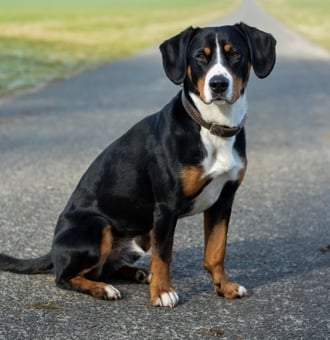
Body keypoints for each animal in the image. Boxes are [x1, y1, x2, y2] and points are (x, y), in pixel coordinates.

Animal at [0, 22, 276, 306]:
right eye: (200, 56)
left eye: (236, 54)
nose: (218, 84)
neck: (210, 127)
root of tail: (53, 248)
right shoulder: (165, 207)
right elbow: (164, 255)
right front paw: (162, 293)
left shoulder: (223, 200)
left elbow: (216, 251)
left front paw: (225, 287)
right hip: (99, 227)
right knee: (65, 277)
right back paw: (104, 288)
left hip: (141, 235)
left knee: (108, 267)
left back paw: (140, 273)